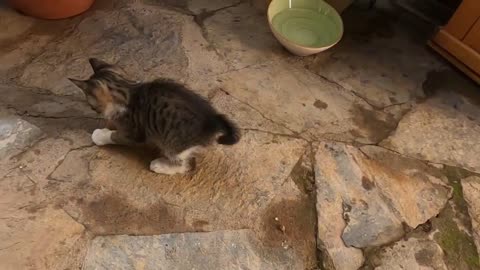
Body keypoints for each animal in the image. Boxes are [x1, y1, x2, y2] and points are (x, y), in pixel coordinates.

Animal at [69, 58, 238, 174]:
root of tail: (212, 119)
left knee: (185, 165)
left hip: (172, 142)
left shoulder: (134, 133)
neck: (126, 89)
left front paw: (100, 135)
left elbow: (116, 136)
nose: (95, 111)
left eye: (91, 105)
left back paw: (160, 165)